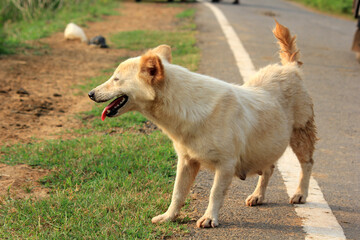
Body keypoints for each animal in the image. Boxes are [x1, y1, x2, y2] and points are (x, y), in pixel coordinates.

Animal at [88, 21, 316, 228]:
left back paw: (300, 194)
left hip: (300, 135)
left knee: (307, 164)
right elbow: (177, 193)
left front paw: (209, 218)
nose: (90, 94)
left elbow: (215, 194)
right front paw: (168, 217)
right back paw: (258, 196)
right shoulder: (186, 161)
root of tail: (290, 68)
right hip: (267, 145)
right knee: (269, 168)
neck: (185, 105)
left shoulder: (225, 165)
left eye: (116, 79)